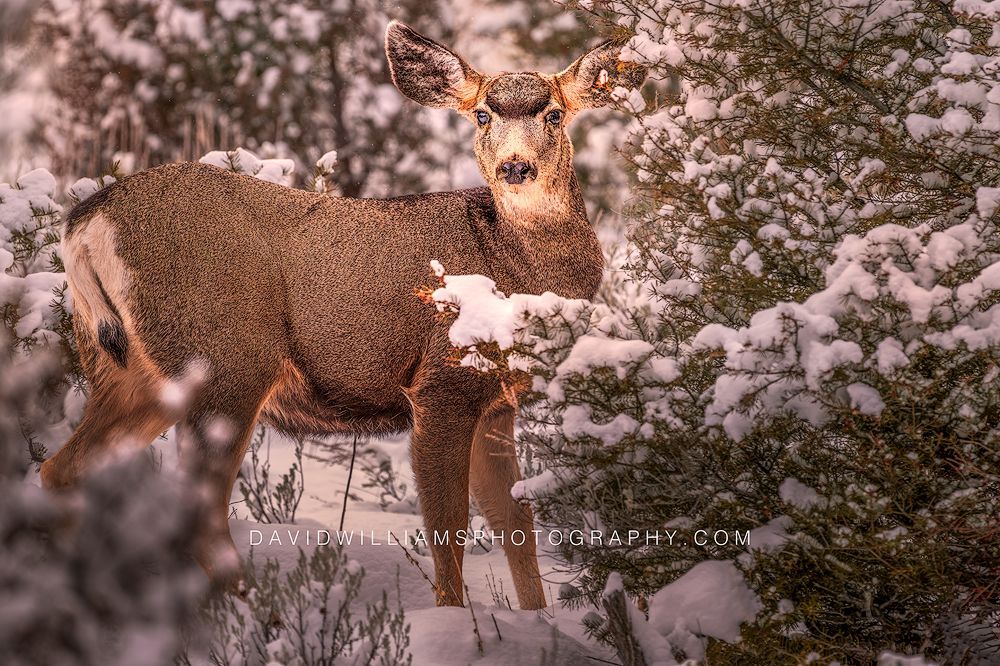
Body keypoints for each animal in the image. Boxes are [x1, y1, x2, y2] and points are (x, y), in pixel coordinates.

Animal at [39, 20, 646, 610]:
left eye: (554, 113)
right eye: (482, 114)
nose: (515, 166)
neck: (513, 264)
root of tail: (87, 222)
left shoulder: (498, 402)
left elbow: (514, 521)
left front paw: (537, 621)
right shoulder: (441, 382)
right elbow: (447, 529)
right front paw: (456, 621)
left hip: (125, 369)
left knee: (61, 469)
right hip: (224, 361)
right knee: (196, 512)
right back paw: (257, 608)